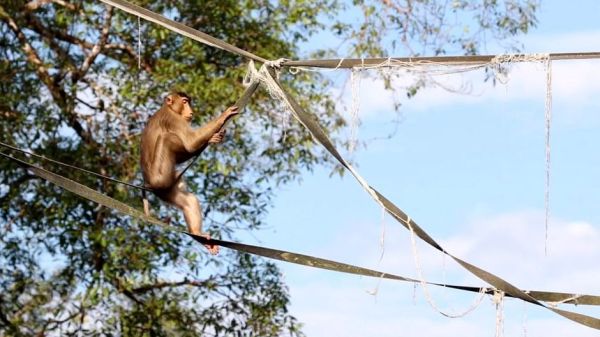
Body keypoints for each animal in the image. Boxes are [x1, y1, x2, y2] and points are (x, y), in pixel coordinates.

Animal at [141, 90, 239, 253]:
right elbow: (190, 142)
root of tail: (148, 184)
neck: (168, 108)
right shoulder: (174, 118)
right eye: (185, 101)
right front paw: (223, 115)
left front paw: (214, 138)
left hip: (166, 190)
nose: (191, 111)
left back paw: (197, 233)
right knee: (168, 138)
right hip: (161, 178)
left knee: (188, 201)